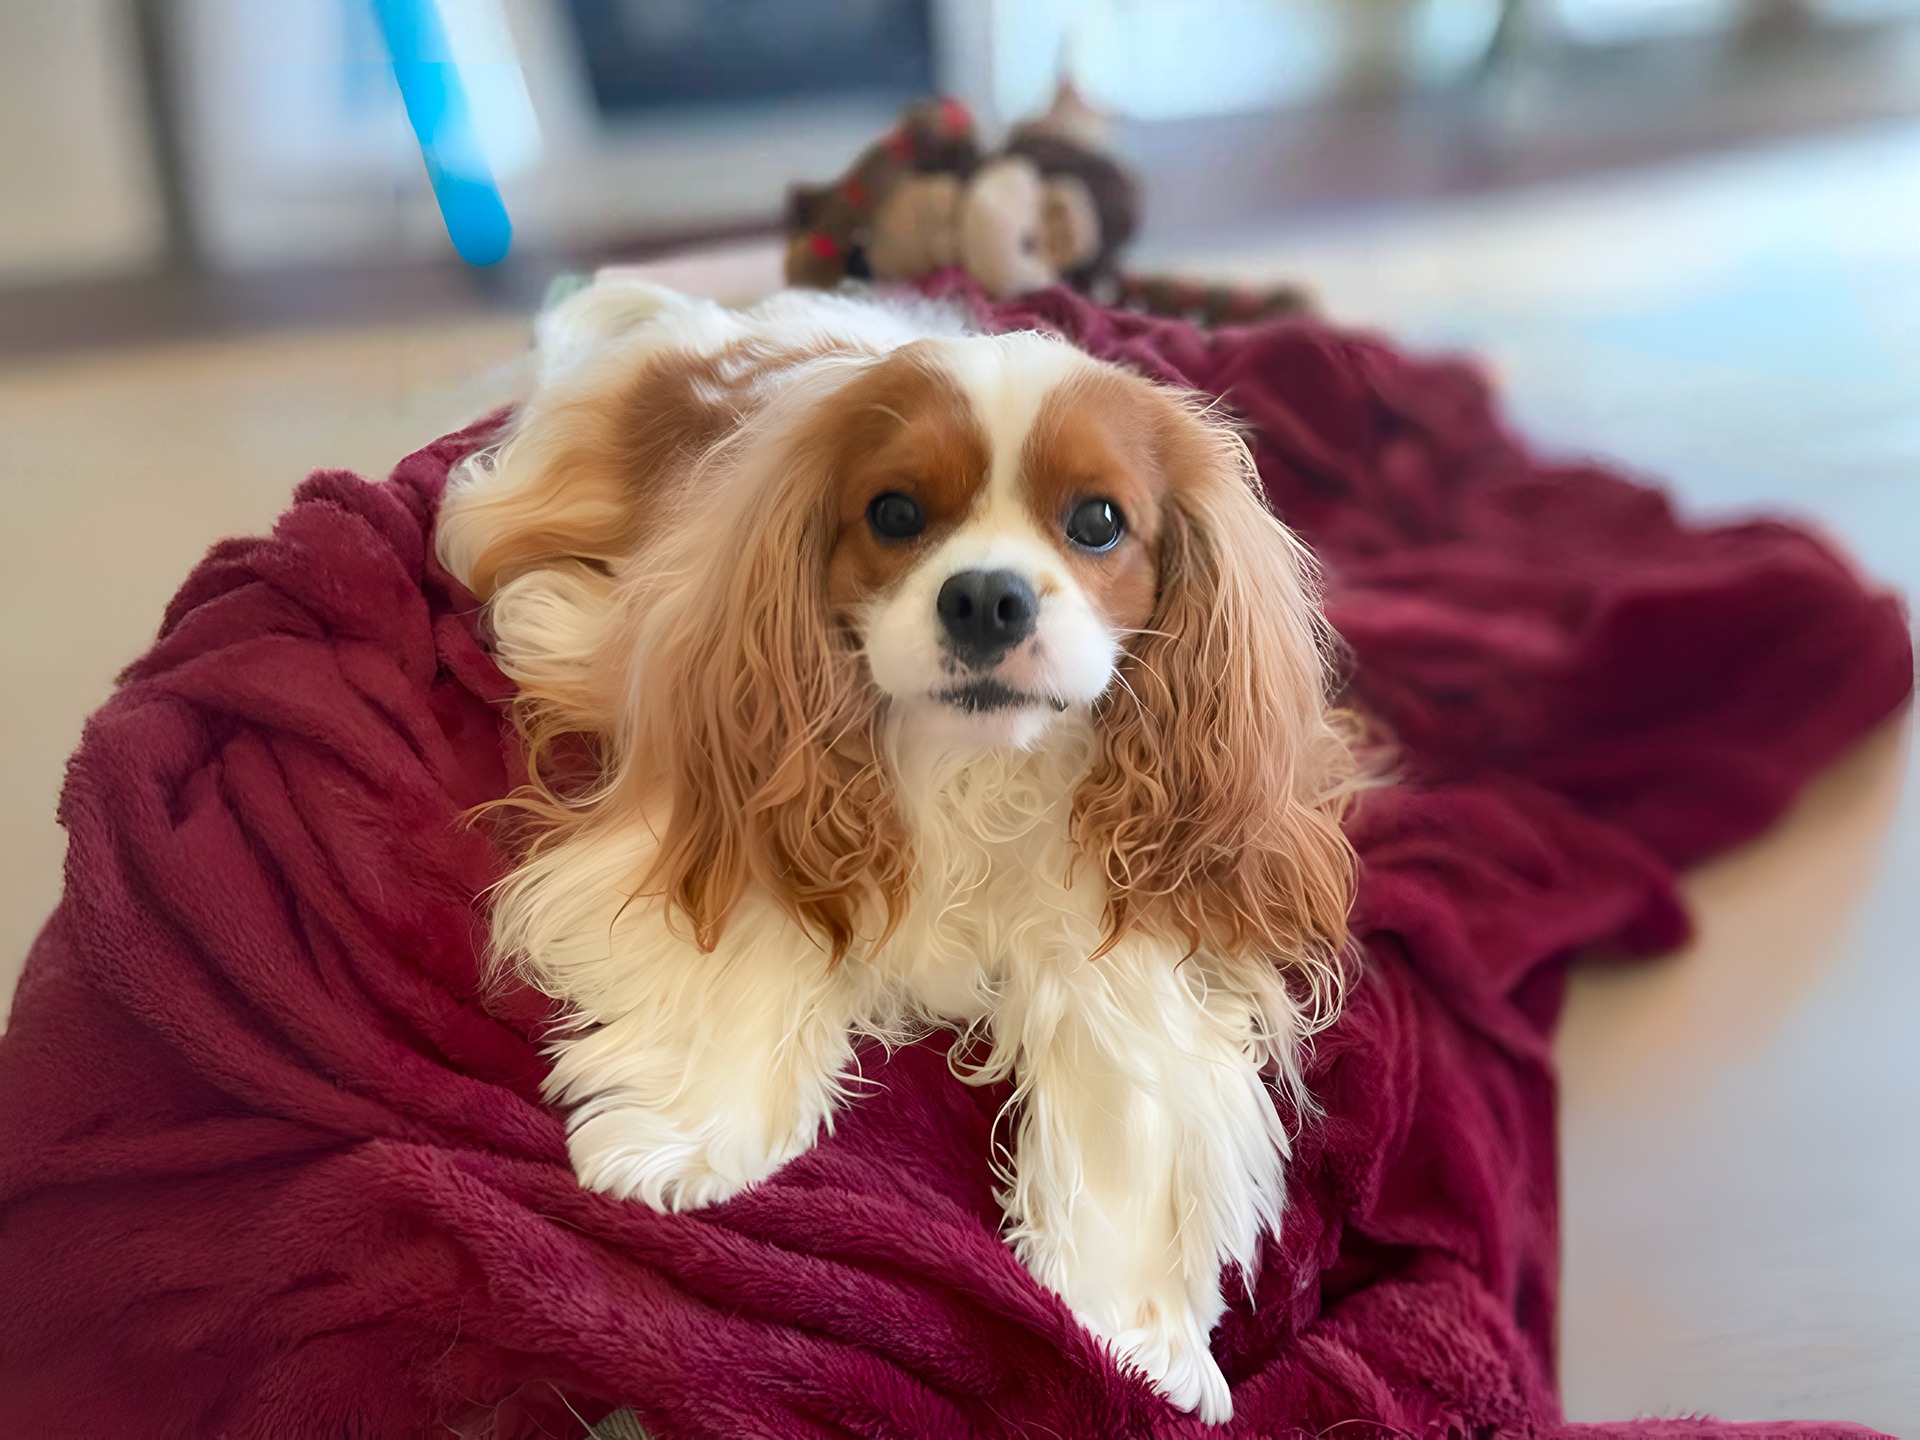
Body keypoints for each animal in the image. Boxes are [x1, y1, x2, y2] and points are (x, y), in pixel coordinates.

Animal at [439, 278, 1359, 1420]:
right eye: (895, 515)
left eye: (1098, 522)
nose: (987, 596)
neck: (977, 760)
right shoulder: (742, 805)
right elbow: (758, 943)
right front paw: (688, 1137)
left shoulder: (1123, 917)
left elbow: (1125, 1078)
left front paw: (1129, 1324)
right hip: (532, 510)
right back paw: (549, 615)